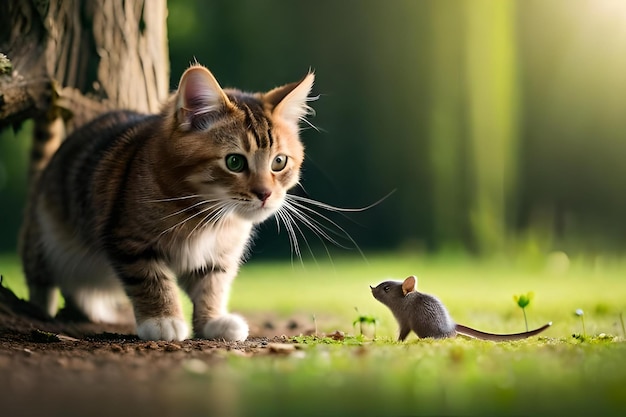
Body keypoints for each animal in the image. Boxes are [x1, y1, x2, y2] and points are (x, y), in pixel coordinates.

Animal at [21, 63, 314, 340]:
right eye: (234, 162)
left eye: (279, 162)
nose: (265, 194)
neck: (208, 215)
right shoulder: (128, 240)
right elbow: (151, 279)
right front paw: (162, 319)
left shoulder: (217, 257)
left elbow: (212, 285)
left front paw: (212, 321)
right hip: (44, 241)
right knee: (41, 278)